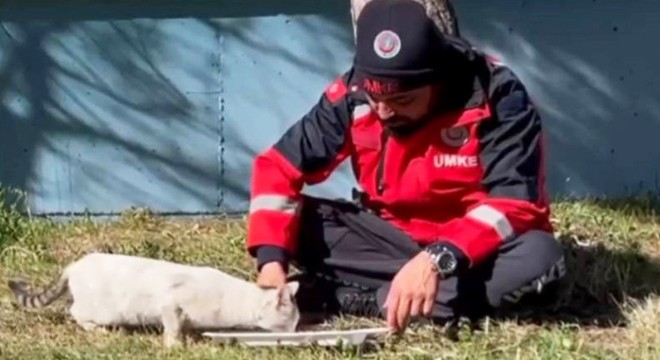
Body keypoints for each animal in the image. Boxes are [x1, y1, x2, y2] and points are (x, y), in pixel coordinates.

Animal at [7, 252, 302, 348]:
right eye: (293, 322)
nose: (298, 330)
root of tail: (74, 265)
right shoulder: (171, 302)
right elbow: (172, 325)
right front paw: (174, 345)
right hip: (101, 308)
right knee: (75, 311)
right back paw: (98, 330)